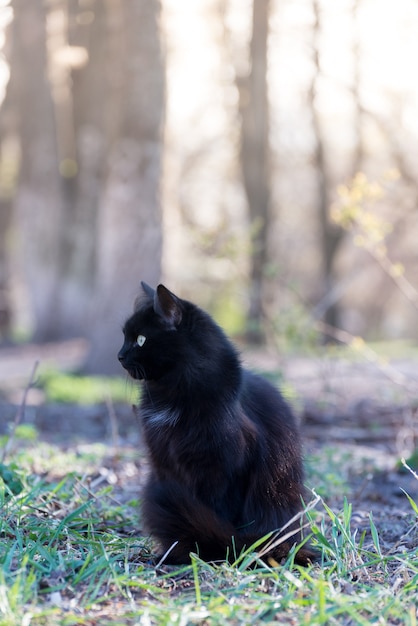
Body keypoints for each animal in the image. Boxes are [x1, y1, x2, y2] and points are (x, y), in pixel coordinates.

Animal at [117, 282, 316, 564]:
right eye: (125, 337)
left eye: (141, 339)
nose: (120, 355)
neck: (173, 396)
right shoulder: (164, 462)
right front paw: (173, 553)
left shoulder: (223, 470)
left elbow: (215, 516)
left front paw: (211, 550)